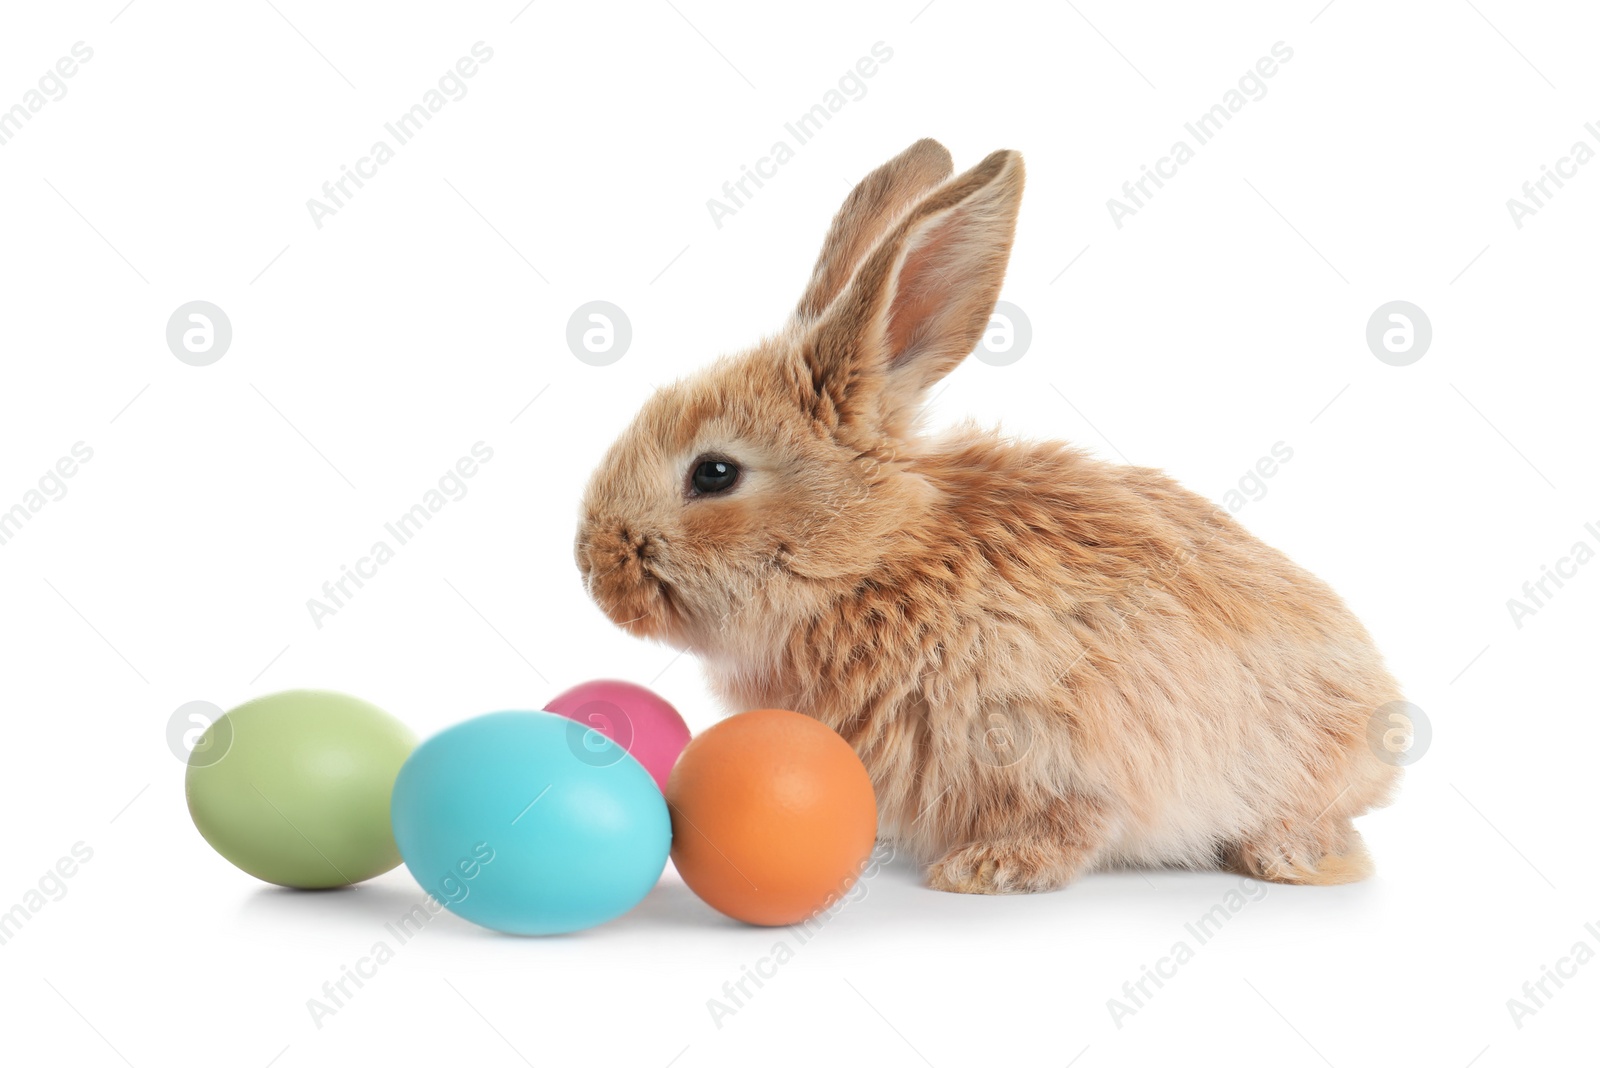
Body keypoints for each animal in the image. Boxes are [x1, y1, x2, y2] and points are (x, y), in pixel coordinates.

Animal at [576, 139, 1401, 895]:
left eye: (714, 473)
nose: (592, 568)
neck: (873, 562)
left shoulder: (1052, 737)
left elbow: (1071, 818)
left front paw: (988, 869)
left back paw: (1288, 859)